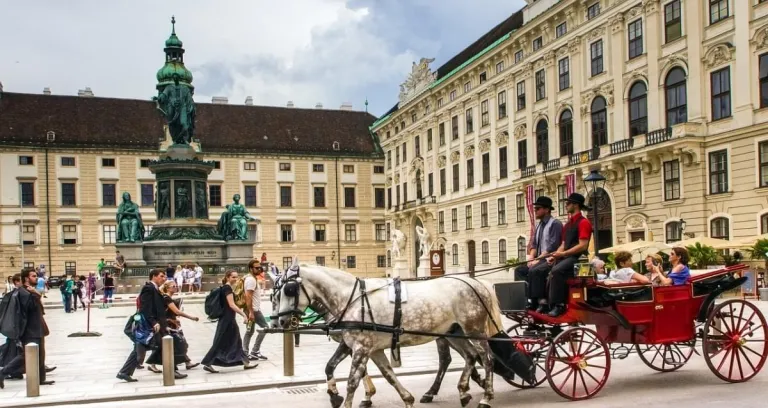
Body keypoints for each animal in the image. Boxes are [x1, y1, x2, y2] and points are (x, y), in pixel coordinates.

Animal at [278, 260, 504, 406]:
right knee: (469, 356)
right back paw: (463, 390)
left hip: (474, 330)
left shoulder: (362, 347)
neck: (351, 298)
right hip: (453, 333)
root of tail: (475, 282)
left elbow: (352, 382)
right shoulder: (366, 347)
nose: (280, 321)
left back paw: (486, 396)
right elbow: (385, 374)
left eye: (289, 290)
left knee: (487, 358)